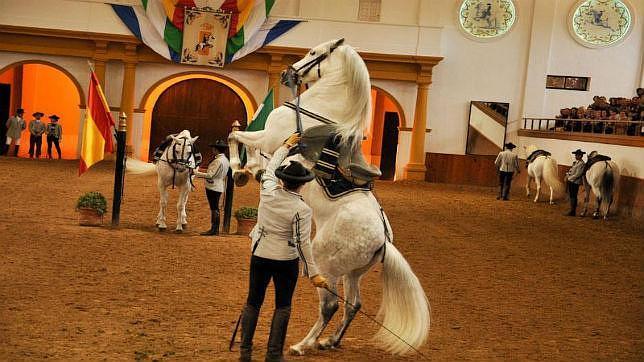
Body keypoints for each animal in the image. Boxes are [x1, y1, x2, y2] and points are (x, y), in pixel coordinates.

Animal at [226, 38, 428, 354]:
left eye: (312, 53)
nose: (286, 73)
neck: (317, 109)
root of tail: (382, 241)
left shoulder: (269, 139)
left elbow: (236, 137)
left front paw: (240, 170)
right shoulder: (271, 145)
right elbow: (246, 144)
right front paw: (252, 170)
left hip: (325, 265)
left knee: (331, 305)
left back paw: (302, 345)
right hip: (353, 273)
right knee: (353, 305)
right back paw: (330, 341)